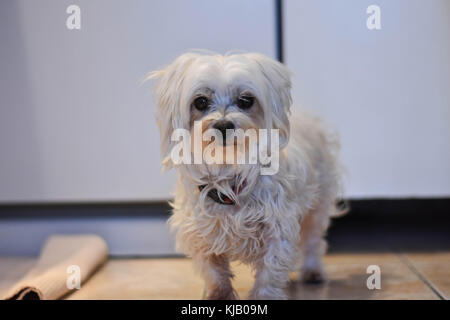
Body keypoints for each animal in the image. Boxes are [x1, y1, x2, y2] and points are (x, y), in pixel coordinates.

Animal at [149, 52, 346, 300]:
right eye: (200, 102)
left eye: (246, 100)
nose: (224, 125)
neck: (229, 171)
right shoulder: (199, 233)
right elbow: (213, 271)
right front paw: (218, 295)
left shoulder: (277, 229)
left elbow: (270, 272)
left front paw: (264, 297)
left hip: (318, 206)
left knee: (313, 241)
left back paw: (313, 271)